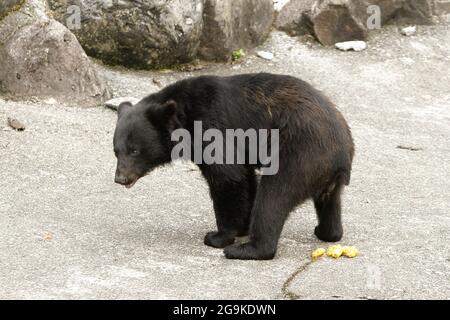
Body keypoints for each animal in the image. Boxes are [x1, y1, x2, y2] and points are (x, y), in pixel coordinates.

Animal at [113, 72, 356, 260]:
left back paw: (248, 249)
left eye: (134, 150)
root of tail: (341, 153)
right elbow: (245, 177)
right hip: (323, 173)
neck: (185, 116)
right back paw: (327, 232)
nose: (120, 178)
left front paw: (218, 236)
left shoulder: (213, 127)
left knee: (274, 197)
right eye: (116, 150)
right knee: (329, 202)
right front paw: (242, 226)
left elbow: (228, 177)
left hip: (299, 155)